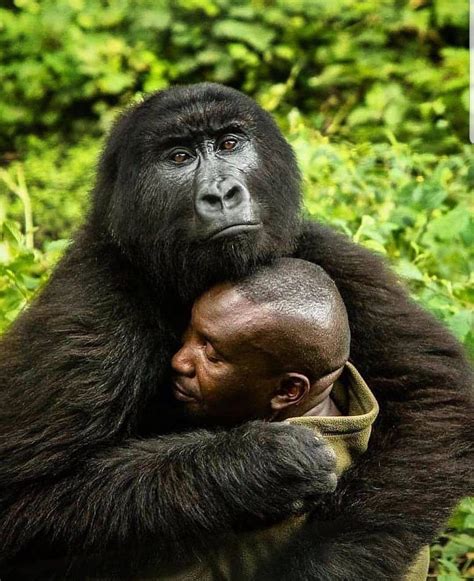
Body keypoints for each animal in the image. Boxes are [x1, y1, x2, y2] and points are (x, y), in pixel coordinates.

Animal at [0, 82, 472, 580]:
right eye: (179, 157)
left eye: (229, 144)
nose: (222, 193)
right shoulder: (87, 313)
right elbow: (21, 504)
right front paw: (259, 467)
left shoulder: (324, 250)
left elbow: (434, 395)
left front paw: (321, 564)